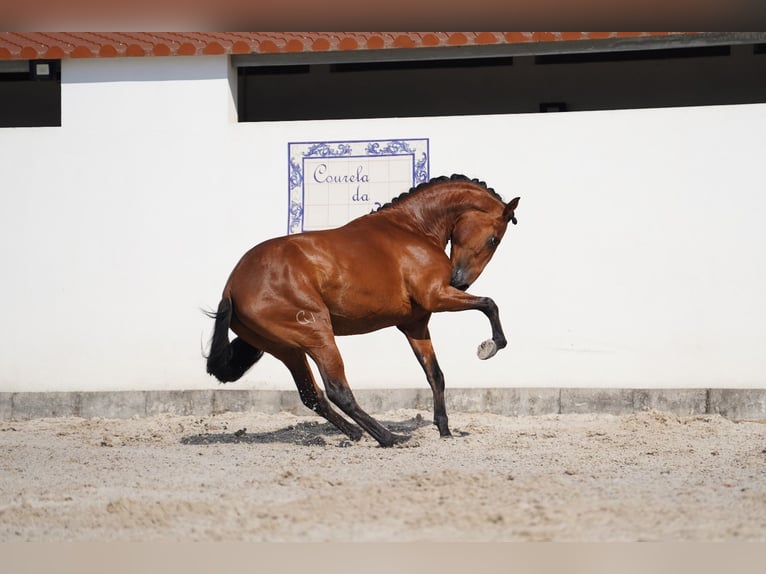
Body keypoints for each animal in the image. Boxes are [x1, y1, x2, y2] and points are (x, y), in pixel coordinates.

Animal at [207, 173, 520, 448]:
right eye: (494, 239)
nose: (460, 281)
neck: (412, 228)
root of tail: (232, 287)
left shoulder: (416, 324)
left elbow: (436, 375)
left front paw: (444, 430)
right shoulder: (437, 297)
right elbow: (489, 304)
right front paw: (491, 346)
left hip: (288, 349)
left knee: (312, 395)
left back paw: (356, 434)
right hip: (318, 336)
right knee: (337, 390)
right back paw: (389, 438)